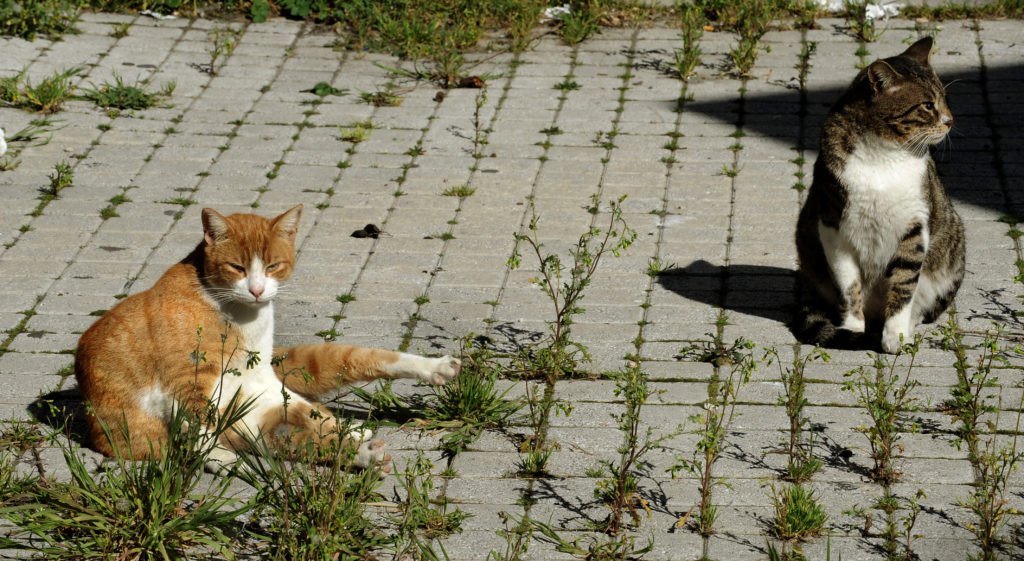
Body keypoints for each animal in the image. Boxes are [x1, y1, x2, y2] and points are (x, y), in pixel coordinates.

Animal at [77, 203, 462, 470]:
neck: (242, 316)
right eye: (237, 268)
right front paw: (218, 457)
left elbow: (314, 414)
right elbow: (198, 426)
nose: (258, 290)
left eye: (273, 266)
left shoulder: (264, 381)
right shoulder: (186, 382)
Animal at [794, 35, 962, 352]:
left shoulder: (915, 223)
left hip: (953, 250)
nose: (950, 120)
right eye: (927, 105)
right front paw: (852, 329)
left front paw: (895, 335)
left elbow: (905, 282)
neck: (885, 155)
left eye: (946, 99)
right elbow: (848, 284)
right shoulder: (832, 226)